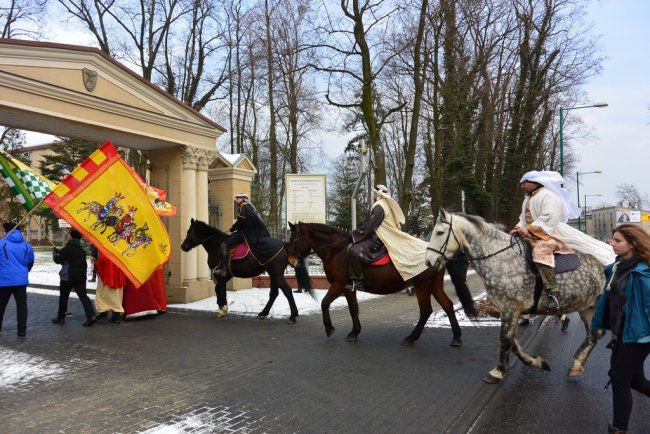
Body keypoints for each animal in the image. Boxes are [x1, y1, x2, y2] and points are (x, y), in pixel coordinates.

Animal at [180, 219, 312, 324]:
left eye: (189, 232)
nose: (183, 246)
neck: (216, 244)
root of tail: (285, 245)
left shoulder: (221, 274)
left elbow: (219, 289)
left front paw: (223, 308)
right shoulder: (227, 274)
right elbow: (219, 288)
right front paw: (222, 306)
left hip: (276, 274)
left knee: (287, 291)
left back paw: (292, 316)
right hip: (273, 274)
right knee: (274, 293)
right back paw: (263, 313)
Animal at [286, 222, 474, 348]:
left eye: (294, 238)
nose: (290, 260)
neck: (337, 250)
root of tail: (438, 253)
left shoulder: (338, 285)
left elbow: (325, 303)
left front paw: (329, 328)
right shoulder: (349, 289)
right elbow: (353, 309)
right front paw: (354, 332)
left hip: (422, 286)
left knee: (426, 310)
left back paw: (411, 338)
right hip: (434, 286)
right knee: (448, 306)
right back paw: (456, 337)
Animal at [422, 210, 604, 384]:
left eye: (439, 232)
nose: (428, 262)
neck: (500, 259)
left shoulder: (510, 308)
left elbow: (505, 339)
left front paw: (497, 372)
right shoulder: (507, 310)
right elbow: (512, 341)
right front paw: (537, 362)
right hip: (588, 308)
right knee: (594, 335)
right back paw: (576, 366)